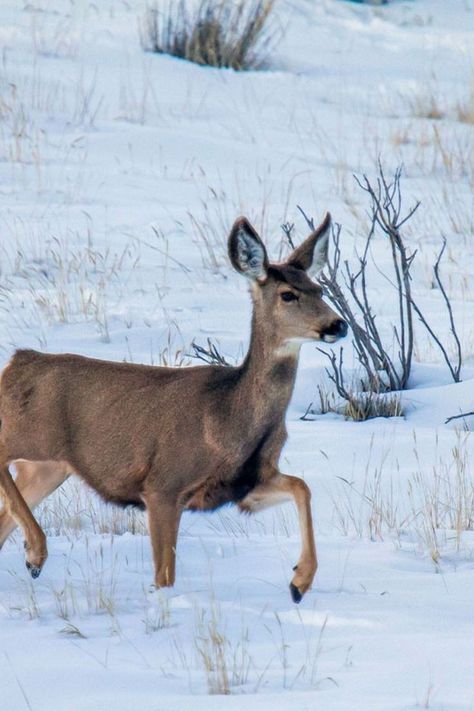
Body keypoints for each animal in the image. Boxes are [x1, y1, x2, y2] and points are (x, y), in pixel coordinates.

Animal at [0, 214, 346, 604]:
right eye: (288, 294)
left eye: (320, 289)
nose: (339, 324)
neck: (229, 418)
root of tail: (16, 363)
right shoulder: (162, 484)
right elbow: (165, 576)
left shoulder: (245, 486)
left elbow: (302, 486)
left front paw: (299, 582)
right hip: (29, 436)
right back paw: (36, 552)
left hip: (48, 466)